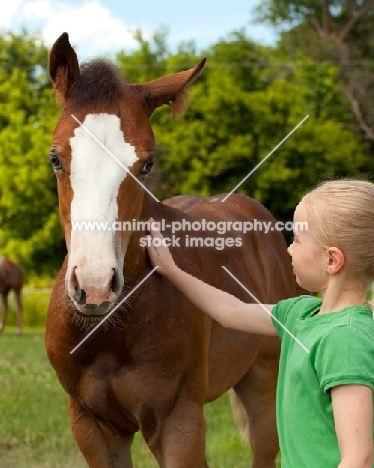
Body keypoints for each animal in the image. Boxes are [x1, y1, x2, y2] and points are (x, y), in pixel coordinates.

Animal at [43, 31, 300, 466]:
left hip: (263, 381)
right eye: (56, 158)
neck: (110, 334)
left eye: (146, 164)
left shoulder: (178, 422)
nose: (94, 286)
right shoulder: (91, 427)